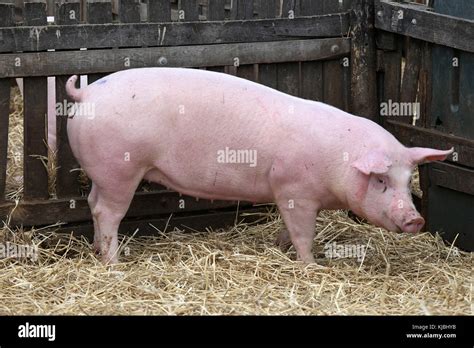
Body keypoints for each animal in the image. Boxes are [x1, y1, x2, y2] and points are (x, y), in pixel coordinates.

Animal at [65, 67, 454, 264]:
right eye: (381, 181)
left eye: (407, 181)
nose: (416, 219)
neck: (338, 162)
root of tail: (87, 93)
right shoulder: (296, 190)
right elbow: (303, 233)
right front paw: (311, 265)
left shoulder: (287, 194)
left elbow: (287, 228)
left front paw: (281, 247)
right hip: (121, 170)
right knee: (107, 212)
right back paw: (114, 263)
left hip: (103, 173)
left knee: (92, 204)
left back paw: (98, 252)